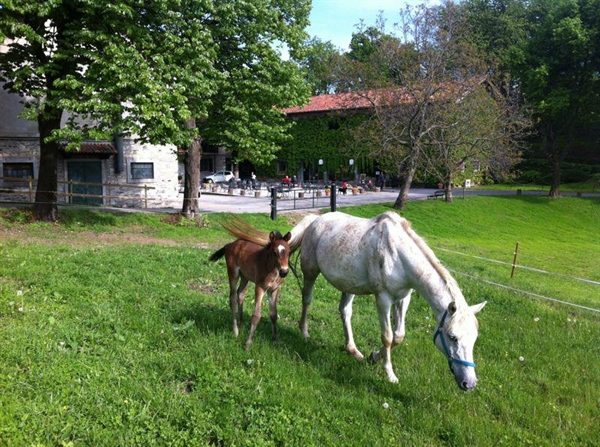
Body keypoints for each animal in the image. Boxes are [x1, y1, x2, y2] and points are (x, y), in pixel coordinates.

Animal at [290, 212, 488, 390]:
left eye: (474, 338)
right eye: (453, 337)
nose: (469, 383)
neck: (398, 255)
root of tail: (315, 219)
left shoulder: (403, 299)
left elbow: (398, 336)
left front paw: (373, 356)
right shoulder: (383, 299)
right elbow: (387, 336)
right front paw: (390, 374)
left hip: (349, 285)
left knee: (345, 312)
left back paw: (353, 349)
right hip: (310, 272)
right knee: (307, 300)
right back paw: (304, 332)